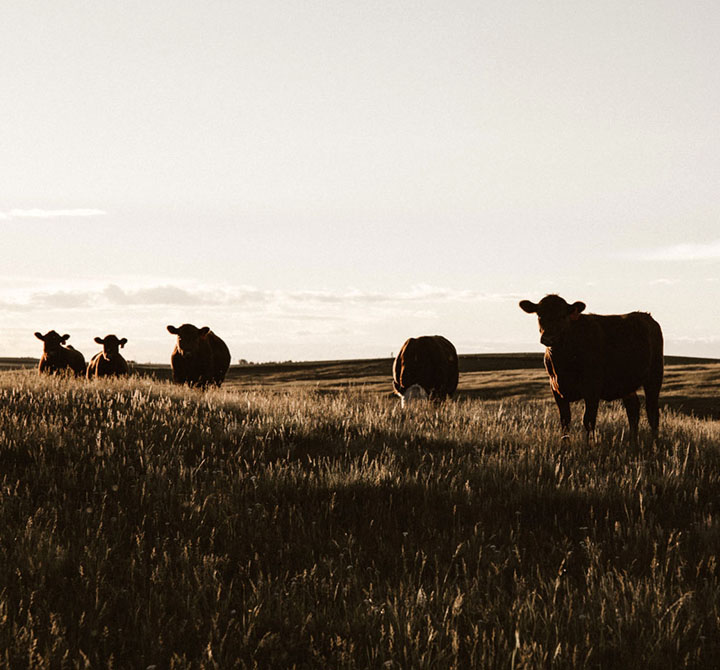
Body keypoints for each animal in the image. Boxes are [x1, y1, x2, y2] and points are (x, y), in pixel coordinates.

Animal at [519, 294, 663, 441]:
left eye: (563, 315)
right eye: (539, 315)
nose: (548, 338)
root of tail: (646, 315)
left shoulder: (592, 389)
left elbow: (588, 421)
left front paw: (589, 445)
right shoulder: (556, 389)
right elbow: (565, 421)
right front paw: (565, 445)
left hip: (655, 376)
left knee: (652, 411)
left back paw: (654, 441)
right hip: (626, 383)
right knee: (633, 409)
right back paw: (632, 441)